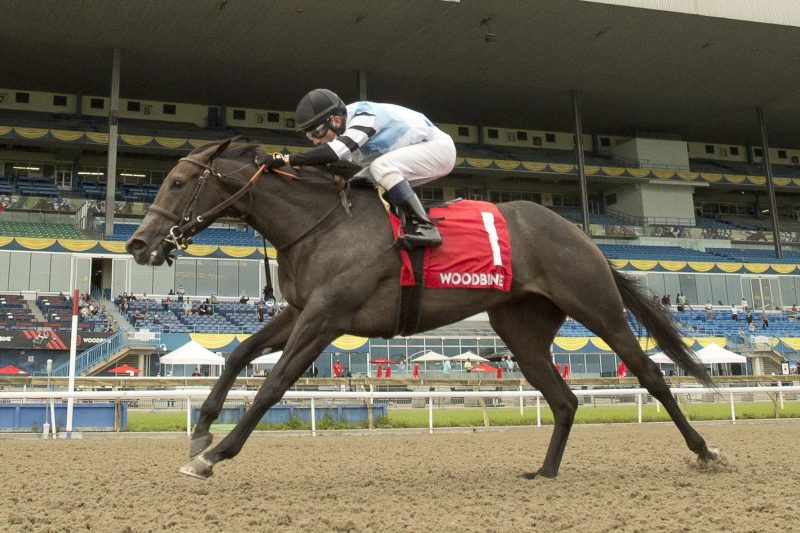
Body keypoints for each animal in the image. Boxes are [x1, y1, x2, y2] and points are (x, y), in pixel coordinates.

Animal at [125, 139, 724, 480]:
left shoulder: (326, 318)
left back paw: (705, 452)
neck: (320, 224)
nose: (137, 243)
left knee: (650, 375)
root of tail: (583, 235)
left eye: (178, 182)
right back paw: (545, 471)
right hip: (522, 330)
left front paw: (214, 455)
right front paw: (201, 430)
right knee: (564, 398)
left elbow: (272, 385)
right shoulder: (299, 312)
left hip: (597, 308)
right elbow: (236, 356)